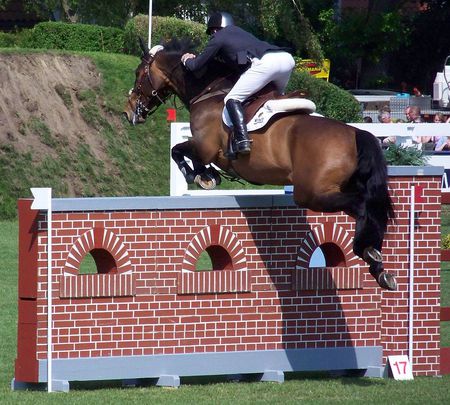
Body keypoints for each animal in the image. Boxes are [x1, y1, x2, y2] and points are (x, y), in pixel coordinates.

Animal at [123, 38, 398, 290]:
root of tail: (356, 133)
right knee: (371, 209)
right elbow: (183, 152)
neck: (208, 90)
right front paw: (208, 175)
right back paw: (378, 266)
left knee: (362, 205)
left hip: (312, 193)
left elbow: (178, 151)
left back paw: (366, 251)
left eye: (138, 74)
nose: (129, 112)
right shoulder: (205, 149)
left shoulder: (205, 147)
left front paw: (200, 176)